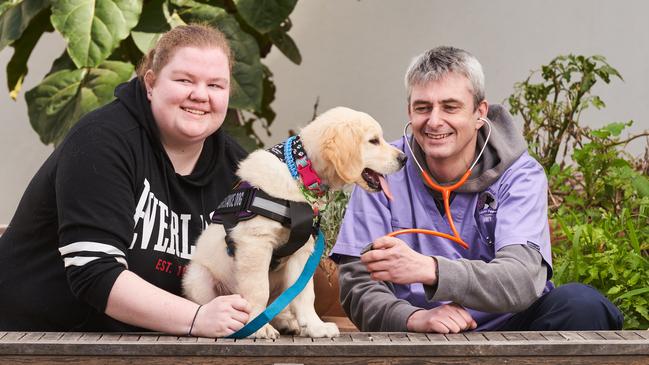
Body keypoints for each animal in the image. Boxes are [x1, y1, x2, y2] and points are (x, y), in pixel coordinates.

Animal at [182, 106, 404, 338]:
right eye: (373, 141)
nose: (404, 158)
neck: (299, 171)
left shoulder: (302, 251)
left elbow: (305, 293)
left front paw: (315, 326)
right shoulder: (255, 242)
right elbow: (258, 289)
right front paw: (256, 326)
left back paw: (287, 322)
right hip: (197, 277)